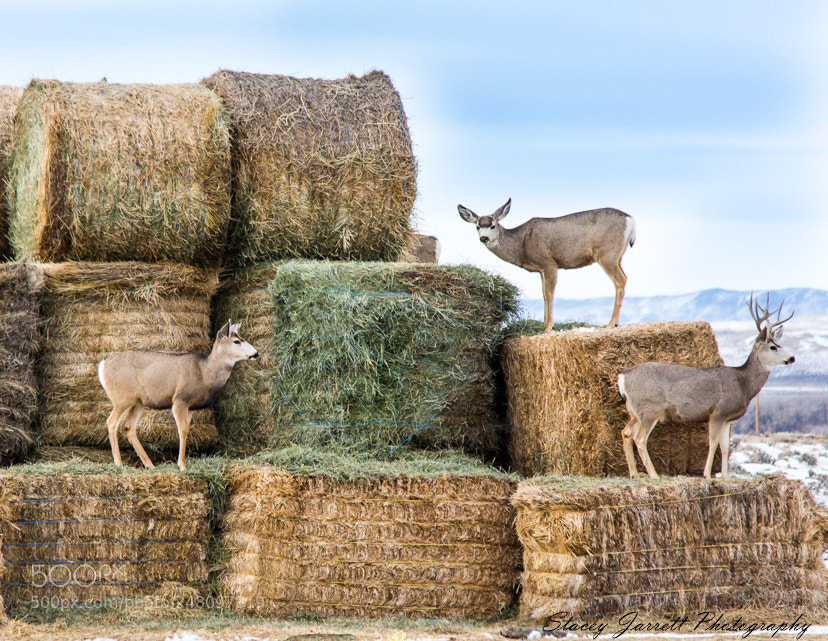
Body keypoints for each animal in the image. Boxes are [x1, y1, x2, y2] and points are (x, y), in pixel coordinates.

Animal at [98, 320, 258, 471]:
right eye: (236, 341)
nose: (256, 353)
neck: (205, 373)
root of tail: (102, 366)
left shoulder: (192, 407)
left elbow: (187, 430)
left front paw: (181, 464)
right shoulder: (180, 399)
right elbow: (182, 430)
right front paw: (182, 465)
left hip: (138, 402)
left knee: (128, 426)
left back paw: (150, 465)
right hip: (122, 398)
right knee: (111, 422)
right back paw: (119, 464)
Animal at [458, 198, 636, 331]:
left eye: (492, 225)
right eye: (477, 226)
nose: (484, 238)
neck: (521, 244)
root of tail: (630, 220)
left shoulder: (549, 263)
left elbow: (550, 294)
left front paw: (549, 327)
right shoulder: (540, 270)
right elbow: (543, 294)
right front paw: (543, 324)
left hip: (608, 254)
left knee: (621, 280)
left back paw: (611, 323)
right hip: (617, 256)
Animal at [617, 294, 795, 480]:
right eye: (773, 347)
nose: (792, 358)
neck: (744, 383)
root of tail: (623, 376)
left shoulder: (727, 418)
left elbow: (725, 447)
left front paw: (725, 477)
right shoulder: (718, 412)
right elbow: (713, 442)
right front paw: (707, 475)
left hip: (635, 411)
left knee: (626, 432)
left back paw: (634, 474)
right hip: (650, 408)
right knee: (639, 438)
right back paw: (653, 475)